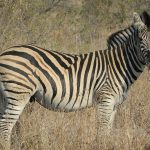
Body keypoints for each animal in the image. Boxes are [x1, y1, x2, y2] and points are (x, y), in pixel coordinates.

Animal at [0, 11, 149, 149]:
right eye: (140, 39)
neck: (119, 65)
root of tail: (4, 53)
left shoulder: (114, 105)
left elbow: (108, 132)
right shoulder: (105, 100)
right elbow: (102, 131)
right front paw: (102, 146)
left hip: (5, 98)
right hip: (18, 94)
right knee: (5, 127)